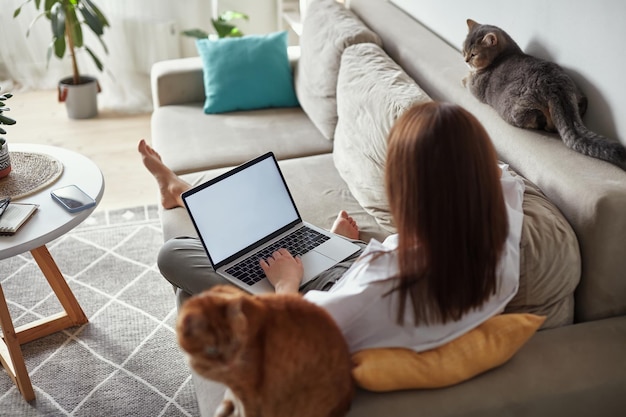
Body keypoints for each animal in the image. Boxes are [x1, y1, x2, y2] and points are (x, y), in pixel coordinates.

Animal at [176, 284, 354, 414]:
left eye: (236, 343)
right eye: (211, 350)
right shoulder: (235, 389)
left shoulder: (248, 393)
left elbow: (246, 412)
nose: (230, 364)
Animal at [460, 17, 620, 167]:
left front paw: (464, 78)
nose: (465, 60)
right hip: (578, 94)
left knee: (535, 118)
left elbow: (468, 80)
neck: (505, 54)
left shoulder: (476, 86)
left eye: (474, 54)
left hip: (516, 108)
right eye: (464, 50)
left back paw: (544, 123)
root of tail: (556, 84)